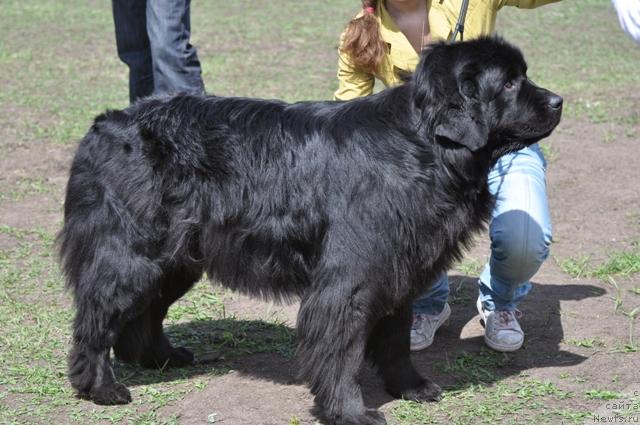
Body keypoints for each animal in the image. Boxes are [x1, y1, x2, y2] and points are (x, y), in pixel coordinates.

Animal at [58, 37, 560, 424]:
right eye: (509, 83)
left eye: (523, 75)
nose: (558, 101)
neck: (424, 145)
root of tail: (105, 124)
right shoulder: (350, 278)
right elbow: (341, 349)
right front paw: (350, 411)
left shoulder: (396, 266)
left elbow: (396, 338)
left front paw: (411, 387)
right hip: (133, 250)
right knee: (97, 316)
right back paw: (100, 387)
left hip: (178, 256)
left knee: (144, 312)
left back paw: (160, 358)